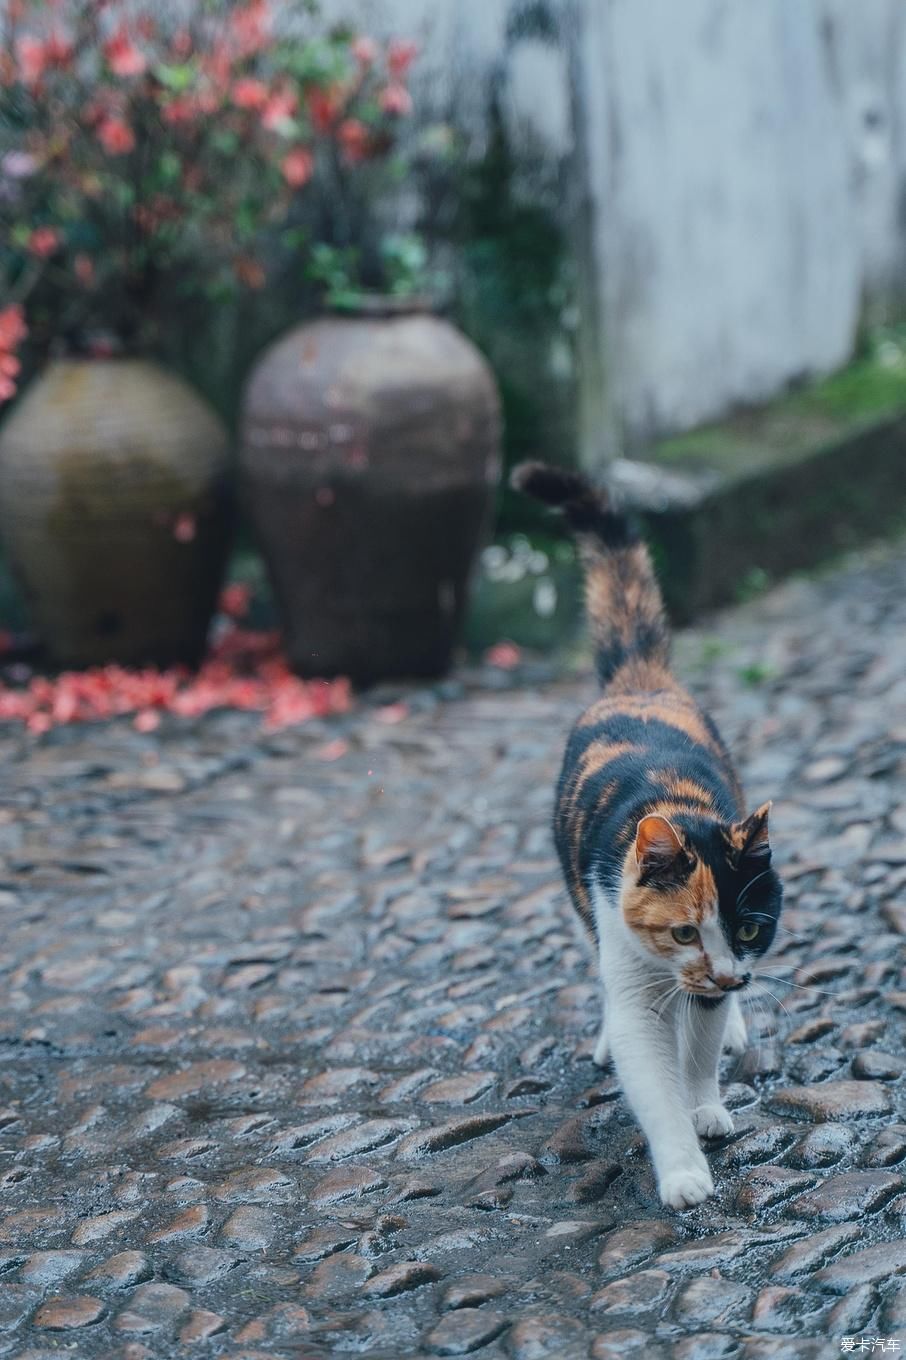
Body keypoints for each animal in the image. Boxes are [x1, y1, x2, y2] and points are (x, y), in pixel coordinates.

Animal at [511, 462, 778, 1207]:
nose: (727, 972)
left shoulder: (711, 986)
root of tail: (640, 681)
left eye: (750, 927)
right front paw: (683, 1170)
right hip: (582, 904)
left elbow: (699, 1054)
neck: (674, 805)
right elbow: (652, 1079)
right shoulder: (633, 970)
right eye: (683, 930)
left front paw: (706, 1104)